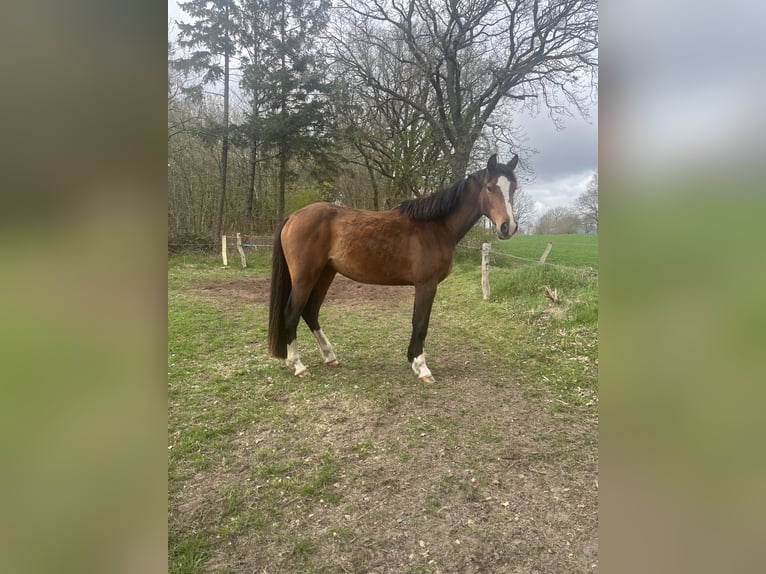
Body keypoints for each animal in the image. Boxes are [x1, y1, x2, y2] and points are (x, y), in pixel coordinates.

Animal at [268, 153, 519, 384]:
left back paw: (330, 356)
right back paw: (298, 365)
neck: (436, 227)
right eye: (490, 188)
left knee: (310, 312)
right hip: (304, 278)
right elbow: (421, 323)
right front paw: (422, 367)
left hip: (325, 274)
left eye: (514, 188)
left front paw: (413, 361)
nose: (508, 227)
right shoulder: (426, 285)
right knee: (291, 314)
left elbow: (418, 321)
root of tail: (293, 217)